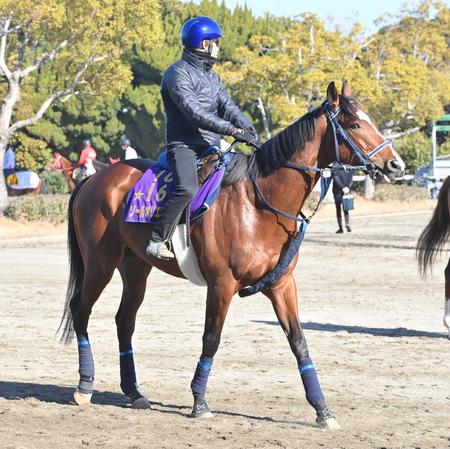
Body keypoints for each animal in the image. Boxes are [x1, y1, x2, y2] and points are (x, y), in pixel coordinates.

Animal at [58, 82, 406, 428]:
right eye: (355, 124)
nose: (396, 165)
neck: (259, 204)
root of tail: (94, 179)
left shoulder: (281, 285)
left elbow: (298, 341)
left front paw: (322, 408)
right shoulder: (221, 284)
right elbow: (211, 338)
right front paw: (199, 401)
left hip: (135, 269)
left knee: (124, 321)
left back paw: (133, 392)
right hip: (101, 264)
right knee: (81, 311)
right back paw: (85, 386)